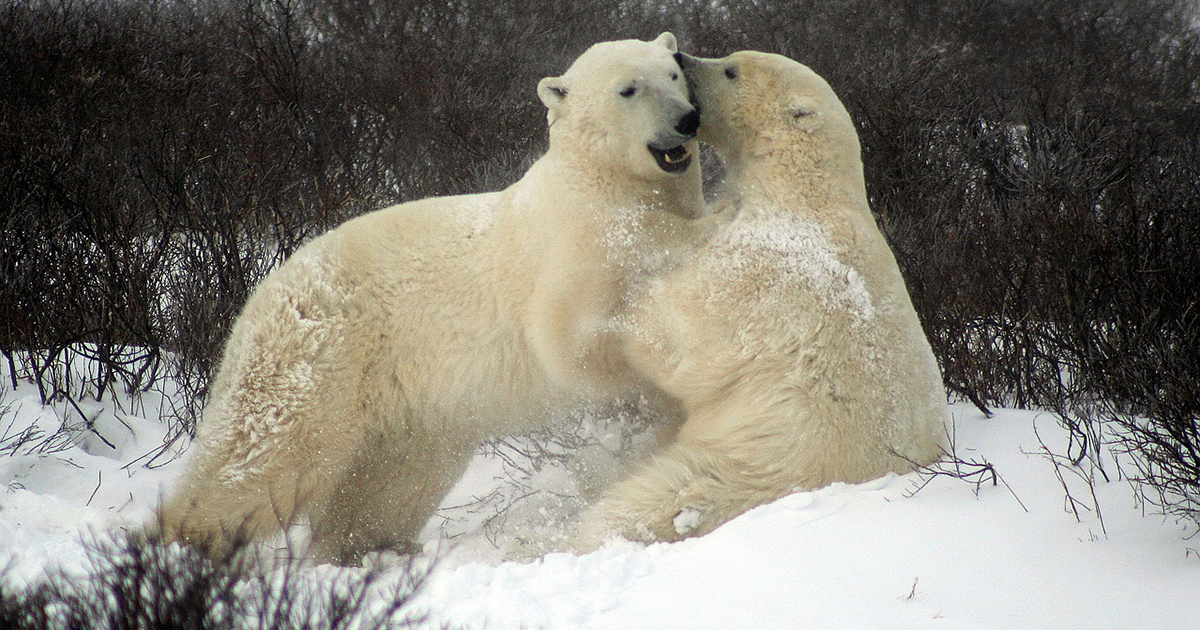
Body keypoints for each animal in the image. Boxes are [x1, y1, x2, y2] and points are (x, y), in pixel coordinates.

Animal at [153, 33, 715, 564]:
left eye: (672, 73)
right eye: (628, 89)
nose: (687, 120)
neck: (602, 182)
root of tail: (260, 293)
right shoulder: (572, 247)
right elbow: (571, 341)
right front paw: (643, 405)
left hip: (410, 410)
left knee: (393, 484)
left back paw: (369, 547)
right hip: (319, 356)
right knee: (263, 457)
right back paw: (181, 547)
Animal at [566, 51, 950, 547]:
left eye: (731, 69)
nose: (682, 57)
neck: (803, 190)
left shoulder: (764, 269)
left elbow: (682, 336)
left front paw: (621, 305)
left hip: (750, 463)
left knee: (649, 501)